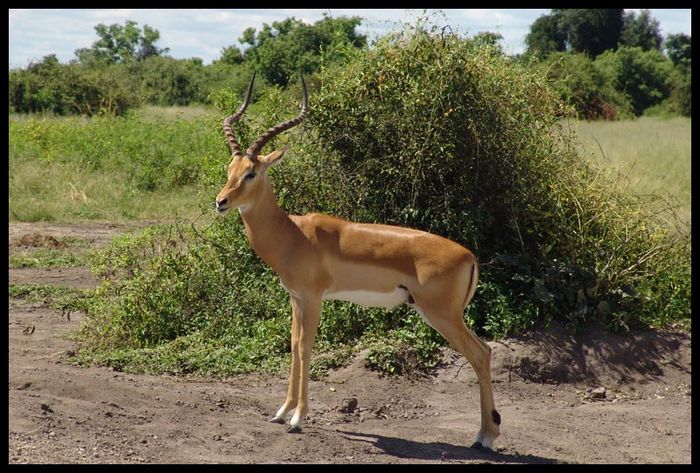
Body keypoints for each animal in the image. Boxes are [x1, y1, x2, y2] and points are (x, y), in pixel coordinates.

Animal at [216, 73, 500, 446]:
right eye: (230, 168)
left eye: (252, 173)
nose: (220, 201)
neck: (293, 234)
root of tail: (470, 256)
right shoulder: (295, 298)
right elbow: (292, 345)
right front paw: (281, 412)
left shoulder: (314, 297)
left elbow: (306, 348)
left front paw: (298, 419)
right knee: (484, 352)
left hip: (442, 315)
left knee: (481, 353)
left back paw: (485, 437)